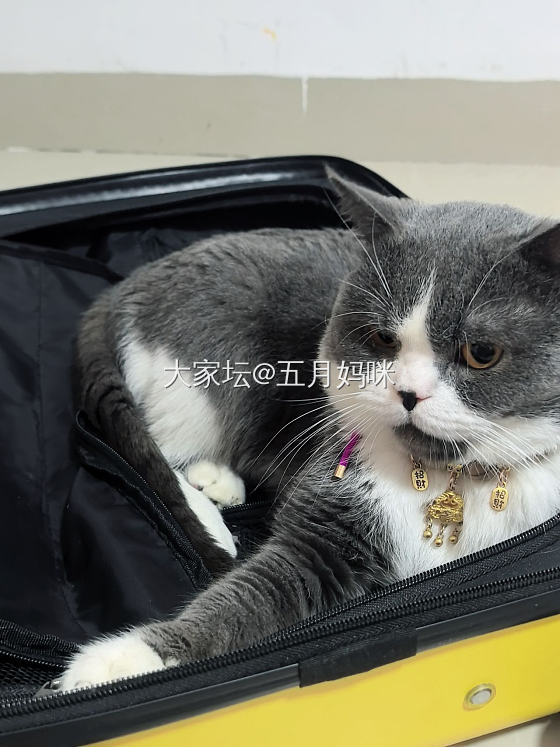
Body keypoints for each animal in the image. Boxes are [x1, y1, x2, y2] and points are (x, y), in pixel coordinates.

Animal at [60, 171, 560, 689]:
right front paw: (119, 662)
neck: (449, 480)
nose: (408, 393)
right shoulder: (325, 530)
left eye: (481, 352)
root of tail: (124, 288)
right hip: (206, 370)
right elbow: (248, 595)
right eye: (383, 339)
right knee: (161, 444)